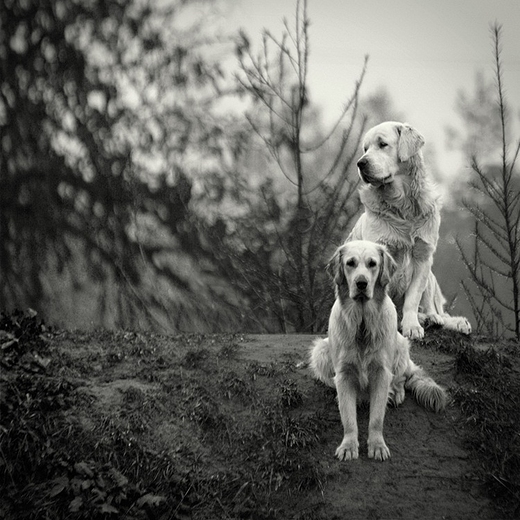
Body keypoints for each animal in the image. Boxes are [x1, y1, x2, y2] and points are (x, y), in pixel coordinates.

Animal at [308, 242, 446, 462]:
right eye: (350, 263)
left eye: (372, 264)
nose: (361, 283)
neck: (362, 322)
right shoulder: (344, 373)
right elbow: (348, 418)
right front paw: (348, 446)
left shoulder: (381, 372)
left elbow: (376, 418)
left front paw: (377, 446)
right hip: (321, 351)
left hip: (401, 346)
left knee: (401, 378)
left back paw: (396, 393)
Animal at [352, 123, 470, 342]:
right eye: (365, 148)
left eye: (382, 144)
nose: (360, 163)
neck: (402, 205)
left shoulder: (423, 256)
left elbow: (413, 299)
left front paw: (412, 326)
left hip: (431, 276)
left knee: (436, 310)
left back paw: (439, 319)